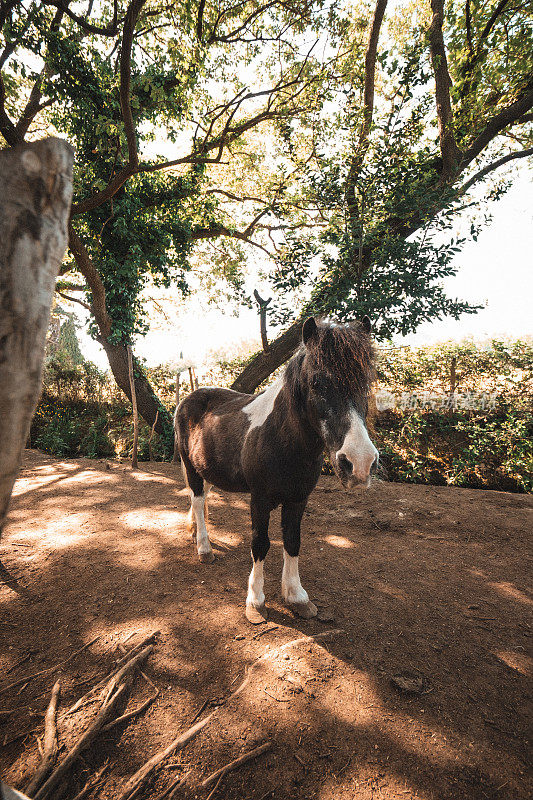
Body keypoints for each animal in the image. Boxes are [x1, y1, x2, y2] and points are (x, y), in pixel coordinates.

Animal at [176, 316, 378, 620]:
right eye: (316, 382)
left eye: (366, 381)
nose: (360, 462)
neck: (282, 439)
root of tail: (189, 398)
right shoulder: (259, 499)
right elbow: (260, 543)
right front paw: (255, 600)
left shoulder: (298, 499)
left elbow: (292, 541)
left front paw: (296, 596)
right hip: (190, 466)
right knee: (198, 501)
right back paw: (203, 548)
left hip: (206, 469)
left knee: (198, 498)